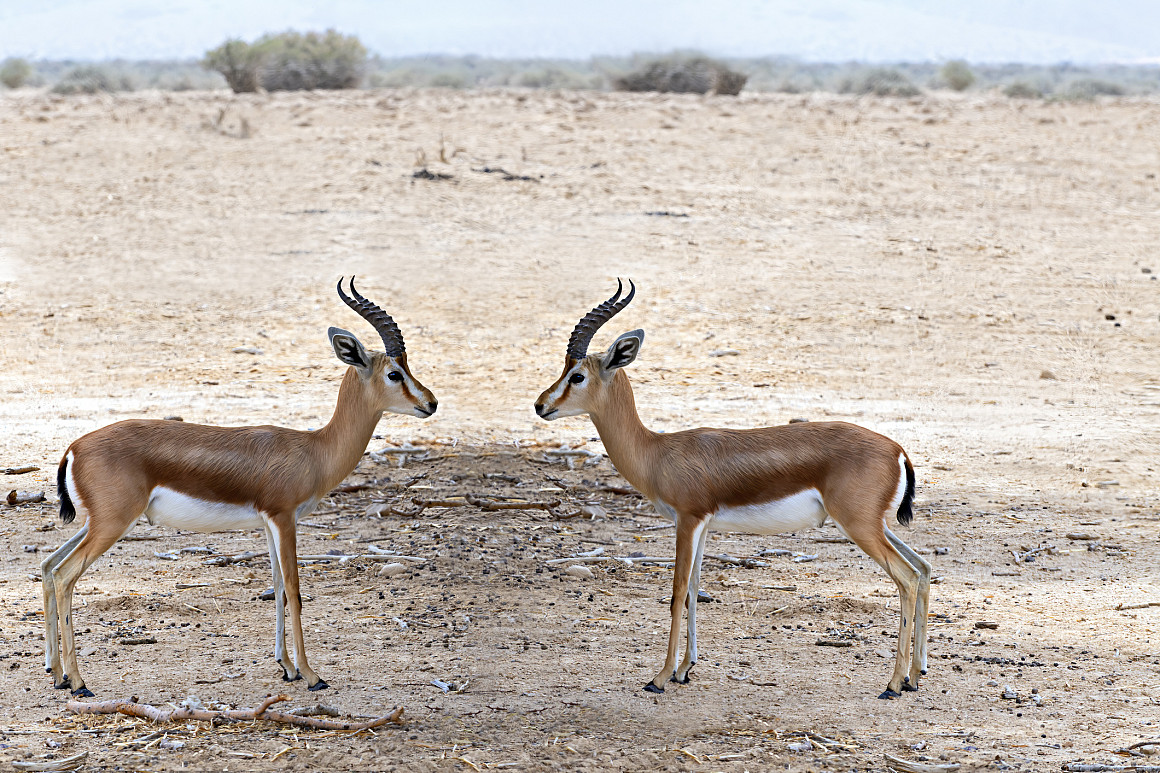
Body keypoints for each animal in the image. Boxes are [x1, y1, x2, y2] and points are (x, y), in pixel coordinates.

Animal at [42, 278, 437, 696]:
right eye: (394, 373)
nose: (431, 403)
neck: (314, 449)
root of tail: (74, 448)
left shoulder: (268, 524)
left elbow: (277, 586)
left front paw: (287, 667)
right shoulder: (284, 518)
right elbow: (294, 590)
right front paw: (312, 675)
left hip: (97, 523)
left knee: (48, 565)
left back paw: (57, 674)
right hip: (112, 524)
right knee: (65, 576)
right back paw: (79, 682)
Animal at [535, 281, 931, 699]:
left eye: (577, 375)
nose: (540, 405)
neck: (657, 452)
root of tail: (897, 450)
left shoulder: (687, 520)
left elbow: (677, 592)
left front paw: (659, 677)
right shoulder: (704, 526)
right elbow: (695, 588)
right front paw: (684, 670)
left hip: (859, 526)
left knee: (906, 578)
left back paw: (893, 684)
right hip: (874, 525)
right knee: (923, 568)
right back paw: (915, 675)